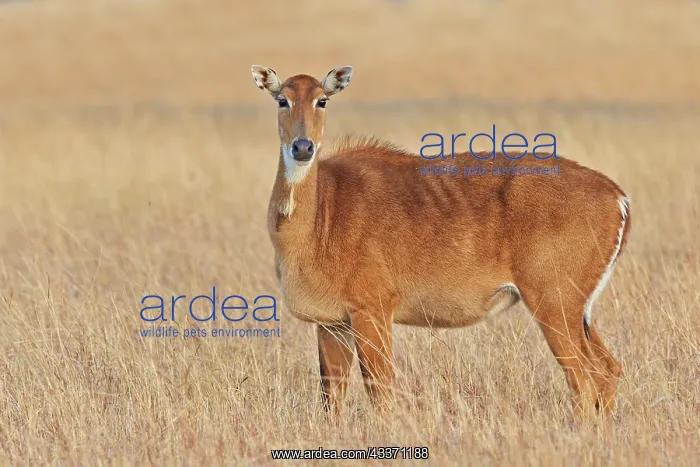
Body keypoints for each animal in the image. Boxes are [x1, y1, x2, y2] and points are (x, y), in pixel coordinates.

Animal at [250, 65, 632, 422]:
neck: (321, 214)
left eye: (322, 100)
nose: (302, 147)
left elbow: (380, 390)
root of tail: (618, 197)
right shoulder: (333, 323)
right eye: (282, 99)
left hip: (554, 303)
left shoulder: (372, 310)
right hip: (578, 311)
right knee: (608, 369)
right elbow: (332, 397)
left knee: (584, 378)